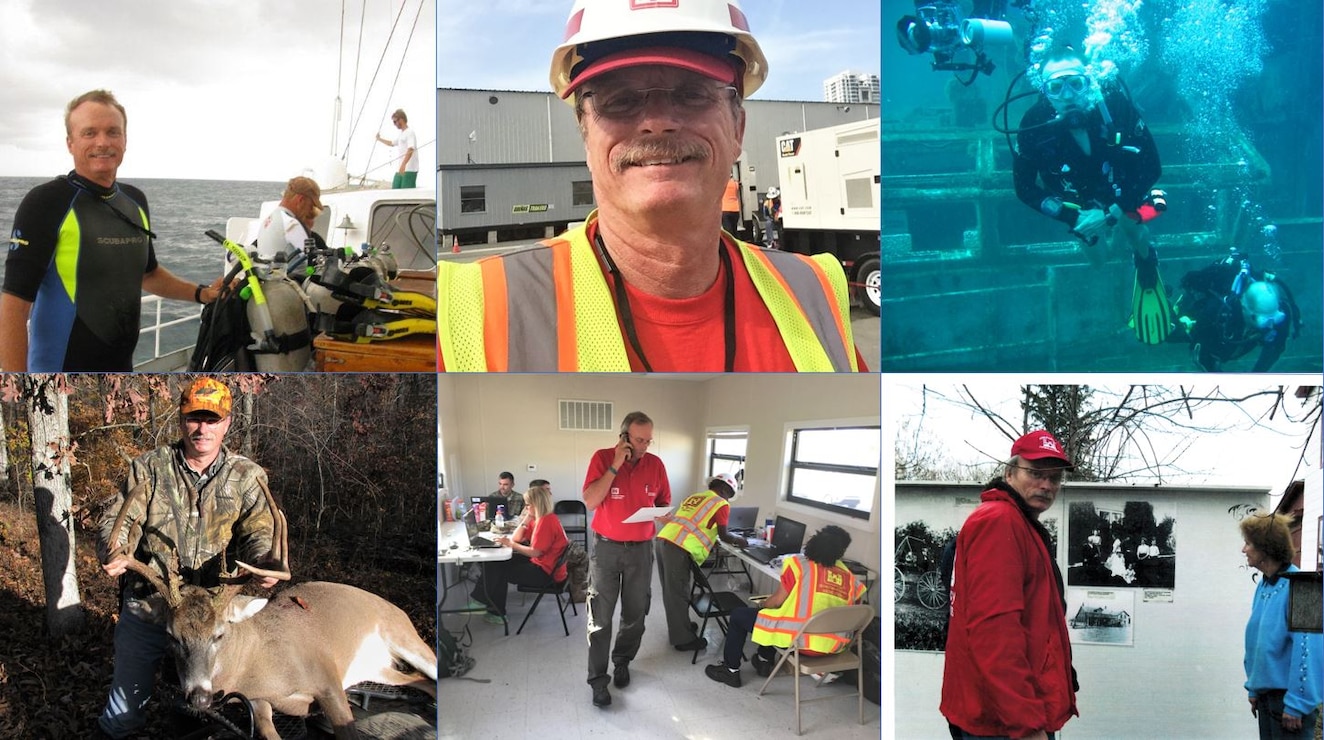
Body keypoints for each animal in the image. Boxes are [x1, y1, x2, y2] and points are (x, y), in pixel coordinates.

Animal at [104, 476, 434, 736]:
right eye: (172, 636)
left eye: (219, 634)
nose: (199, 698)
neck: (258, 661)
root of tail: (392, 606)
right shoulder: (258, 701)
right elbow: (267, 730)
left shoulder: (328, 681)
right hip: (379, 669)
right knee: (422, 682)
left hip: (405, 636)